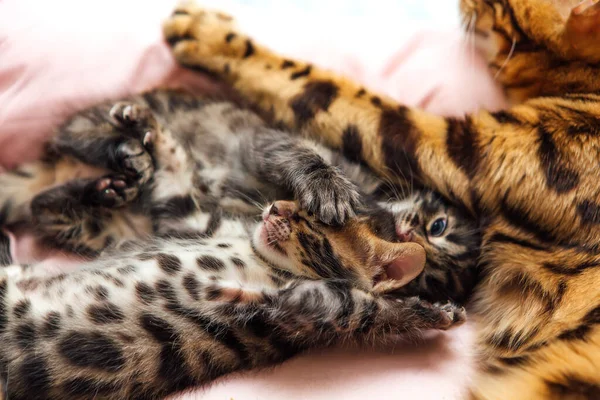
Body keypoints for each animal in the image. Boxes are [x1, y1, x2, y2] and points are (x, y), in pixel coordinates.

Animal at [0, 200, 464, 400]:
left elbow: (352, 306)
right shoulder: (192, 221)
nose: (274, 205)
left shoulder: (298, 321)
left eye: (312, 220)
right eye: (291, 197)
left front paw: (434, 313)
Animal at [164, 0, 600, 398]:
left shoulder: (467, 148)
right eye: (437, 226)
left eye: (429, 278)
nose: (407, 236)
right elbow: (309, 98)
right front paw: (208, 33)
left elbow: (320, 90)